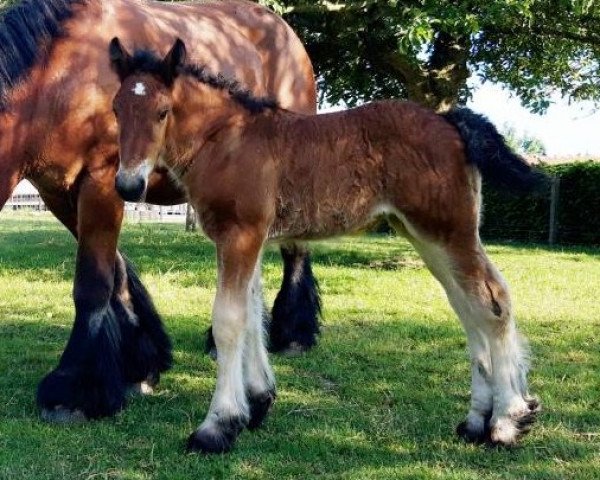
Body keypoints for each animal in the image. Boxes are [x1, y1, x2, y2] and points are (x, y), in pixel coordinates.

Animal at [0, 0, 322, 424]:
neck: (58, 71)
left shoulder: (102, 181)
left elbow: (92, 283)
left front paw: (75, 389)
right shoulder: (60, 193)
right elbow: (116, 273)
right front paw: (140, 361)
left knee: (294, 251)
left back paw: (293, 334)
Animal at [109, 38, 544, 454]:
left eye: (162, 111)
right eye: (116, 109)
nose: (128, 185)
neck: (226, 140)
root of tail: (449, 120)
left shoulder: (239, 234)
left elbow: (229, 322)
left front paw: (217, 427)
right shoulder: (250, 238)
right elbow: (253, 316)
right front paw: (258, 402)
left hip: (450, 231)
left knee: (492, 302)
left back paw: (508, 421)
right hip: (424, 234)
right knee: (468, 308)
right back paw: (477, 421)